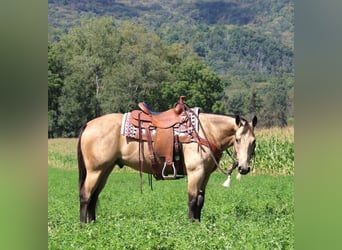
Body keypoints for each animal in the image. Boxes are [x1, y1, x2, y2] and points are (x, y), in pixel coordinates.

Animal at [77, 96, 258, 224]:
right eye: (237, 140)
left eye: (254, 141)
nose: (244, 168)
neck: (205, 131)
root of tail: (88, 125)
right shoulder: (195, 172)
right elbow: (192, 200)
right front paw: (191, 225)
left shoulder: (205, 174)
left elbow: (200, 201)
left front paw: (198, 224)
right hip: (95, 170)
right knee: (86, 195)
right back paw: (84, 226)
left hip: (105, 170)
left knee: (94, 196)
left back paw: (93, 223)